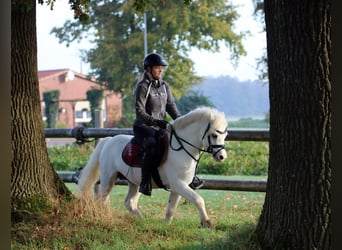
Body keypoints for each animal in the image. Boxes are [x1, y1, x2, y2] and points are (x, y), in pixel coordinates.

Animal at [76, 106, 228, 228]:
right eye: (214, 135)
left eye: (225, 135)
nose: (222, 156)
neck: (181, 148)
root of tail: (108, 140)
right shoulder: (178, 183)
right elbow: (198, 199)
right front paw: (207, 222)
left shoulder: (179, 186)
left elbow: (171, 209)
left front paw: (165, 226)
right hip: (108, 178)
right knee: (102, 199)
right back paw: (106, 218)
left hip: (136, 182)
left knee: (129, 202)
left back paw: (142, 221)